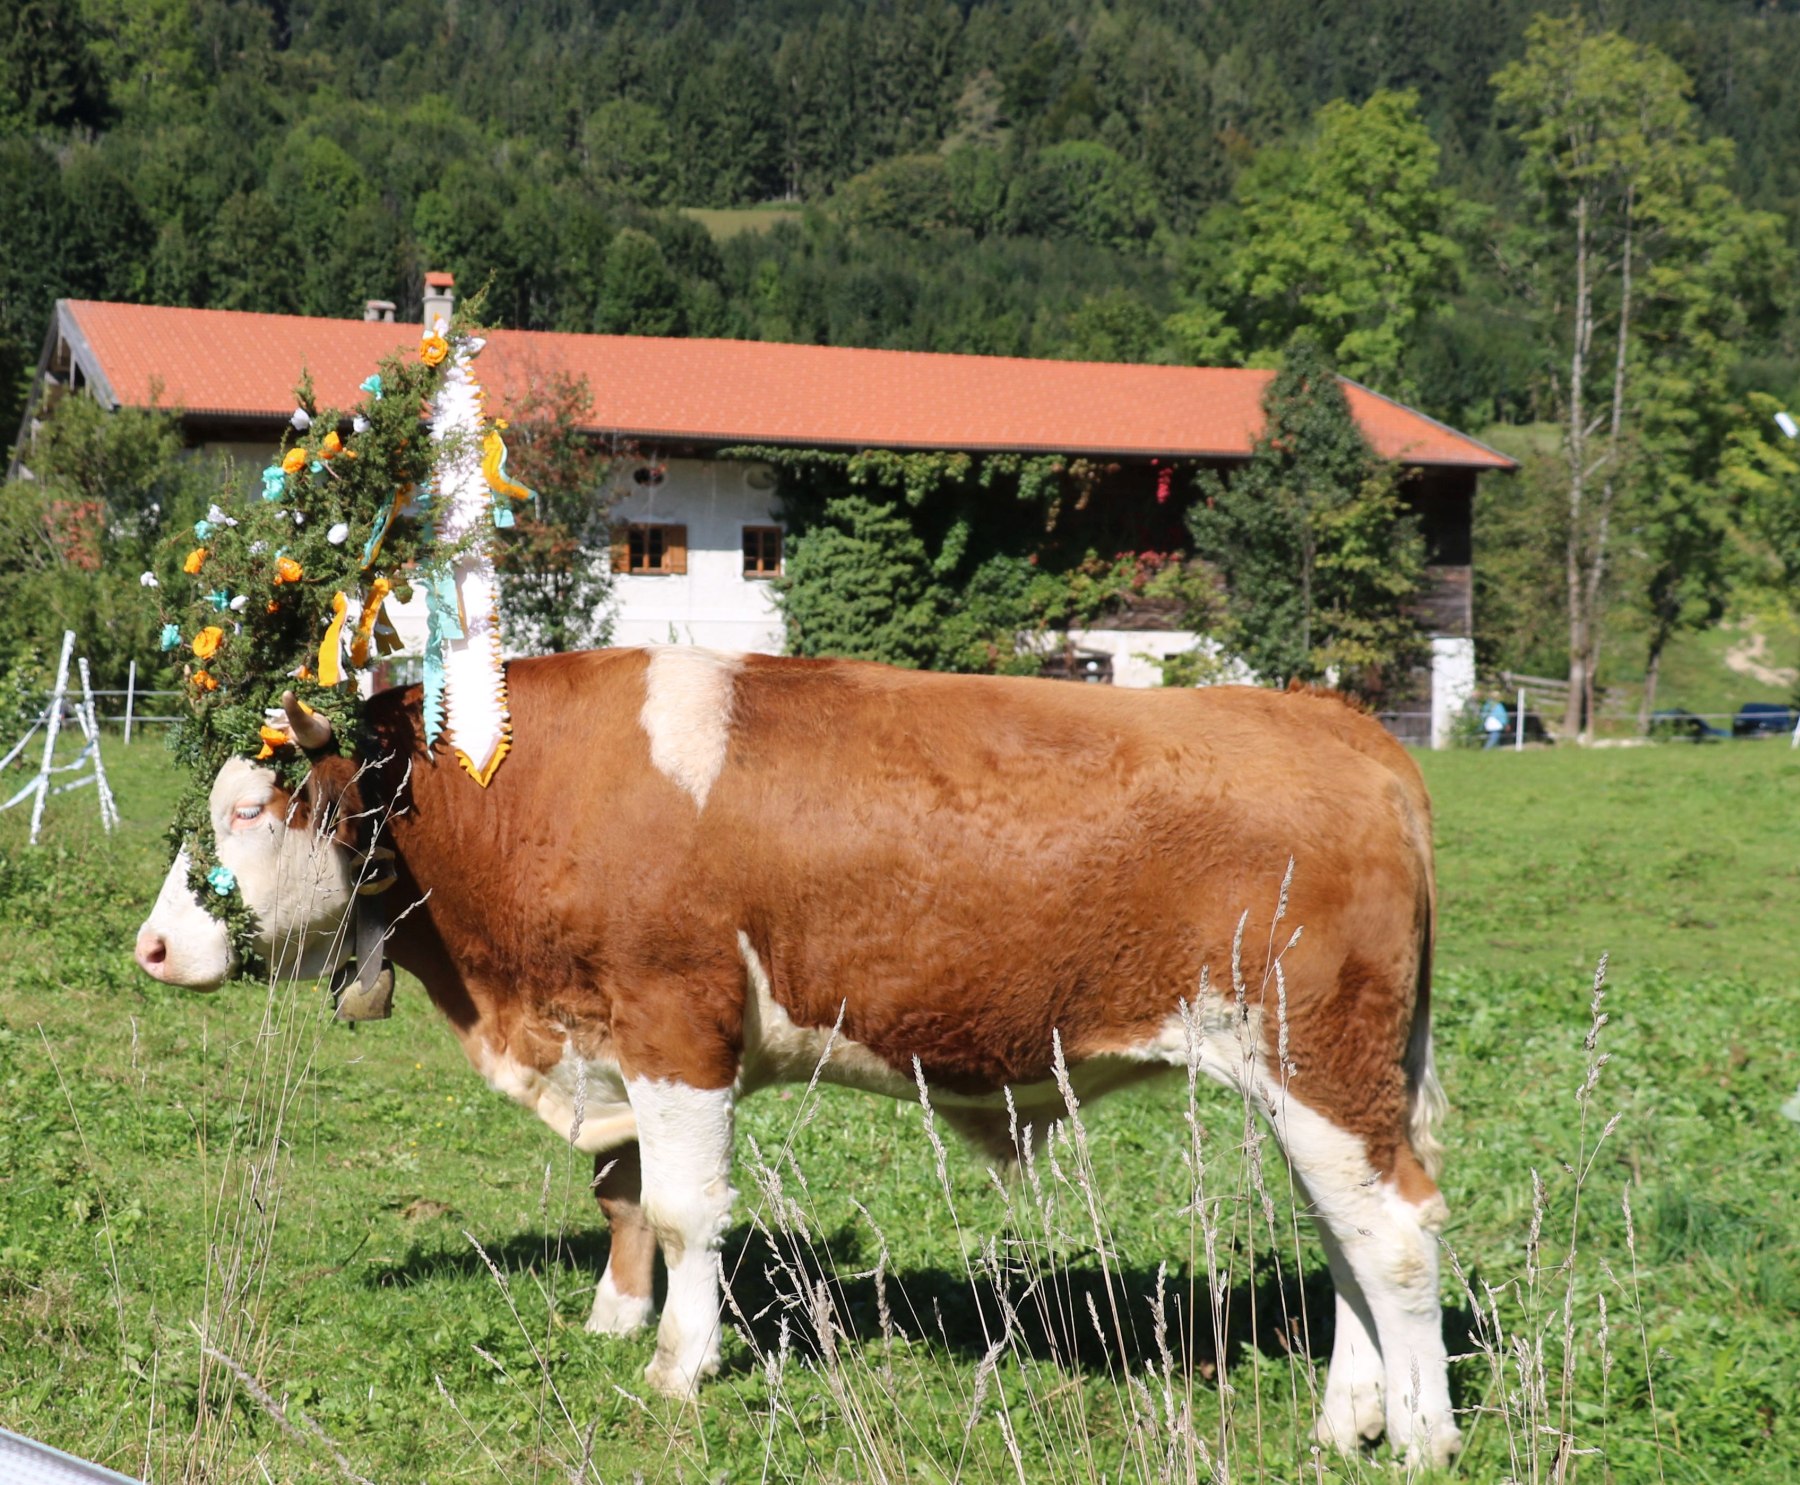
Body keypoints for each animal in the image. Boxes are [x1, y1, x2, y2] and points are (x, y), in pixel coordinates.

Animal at [135, 646, 1461, 1465]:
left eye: (253, 809)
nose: (152, 947)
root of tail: (1339, 726)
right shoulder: (611, 1044)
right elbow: (621, 1193)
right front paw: (616, 1323)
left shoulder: (678, 1024)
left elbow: (683, 1211)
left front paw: (677, 1368)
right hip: (1319, 1087)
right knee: (1344, 1236)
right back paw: (1350, 1421)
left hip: (1324, 1064)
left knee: (1393, 1235)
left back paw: (1425, 1434)